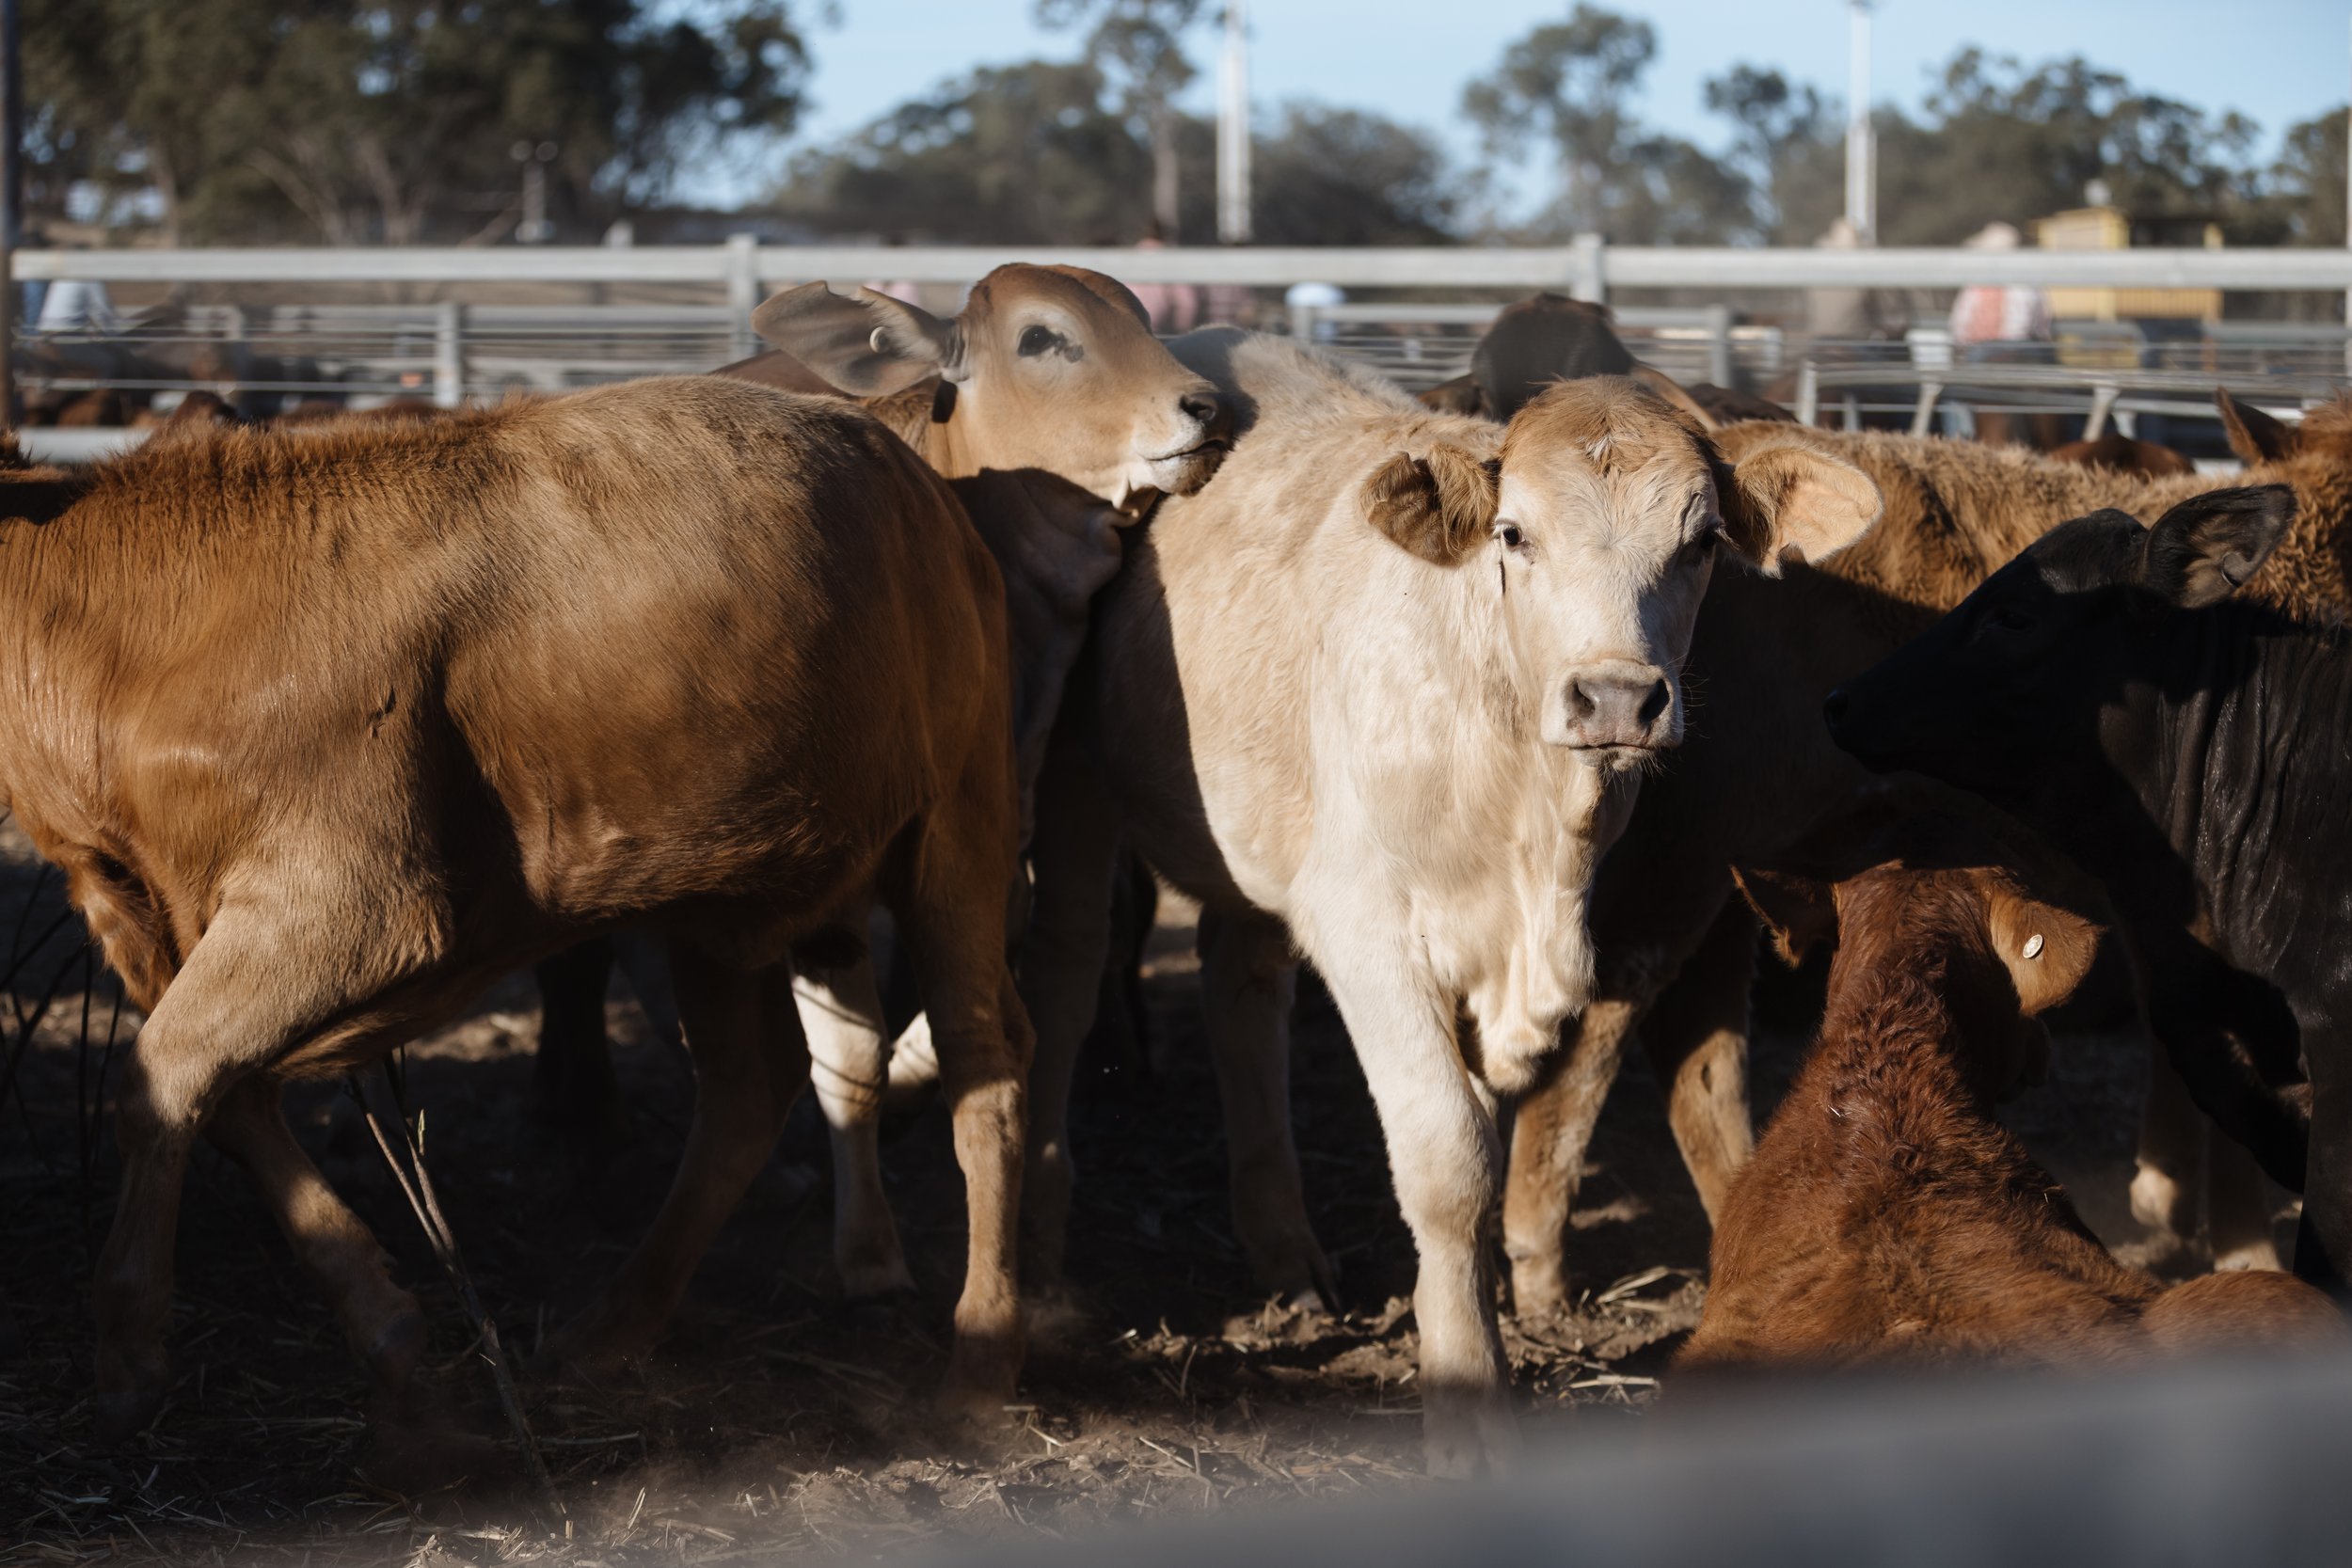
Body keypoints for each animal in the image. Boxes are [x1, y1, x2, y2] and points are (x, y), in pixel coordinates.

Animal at [0, 378, 1050, 1442]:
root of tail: (881, 427)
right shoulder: (129, 905)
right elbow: (214, 1093)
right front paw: (383, 1327)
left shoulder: (351, 898)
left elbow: (163, 1078)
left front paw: (130, 1347)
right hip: (723, 886)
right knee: (749, 1086)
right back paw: (610, 1328)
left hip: (957, 822)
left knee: (984, 1061)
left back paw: (980, 1360)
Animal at [1003, 331, 1881, 1473]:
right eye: (1515, 533)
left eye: (1699, 543)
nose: (1616, 696)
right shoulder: (1370, 930)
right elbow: (1451, 1160)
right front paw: (1468, 1391)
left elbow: (1493, 1144)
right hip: (1074, 785)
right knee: (1064, 982)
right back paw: (1045, 1249)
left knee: (1242, 997)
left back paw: (1286, 1255)